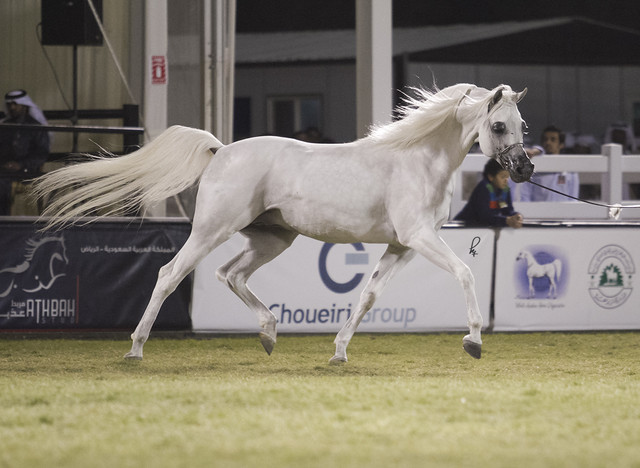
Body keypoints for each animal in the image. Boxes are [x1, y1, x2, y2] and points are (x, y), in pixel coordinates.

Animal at [32, 83, 533, 362]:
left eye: (522, 125)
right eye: (500, 126)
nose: (525, 170)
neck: (419, 159)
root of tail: (221, 149)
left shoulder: (402, 246)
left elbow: (368, 296)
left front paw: (338, 352)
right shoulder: (420, 237)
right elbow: (465, 273)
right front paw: (474, 340)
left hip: (272, 239)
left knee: (229, 274)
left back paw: (269, 333)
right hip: (211, 231)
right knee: (170, 274)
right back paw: (135, 348)